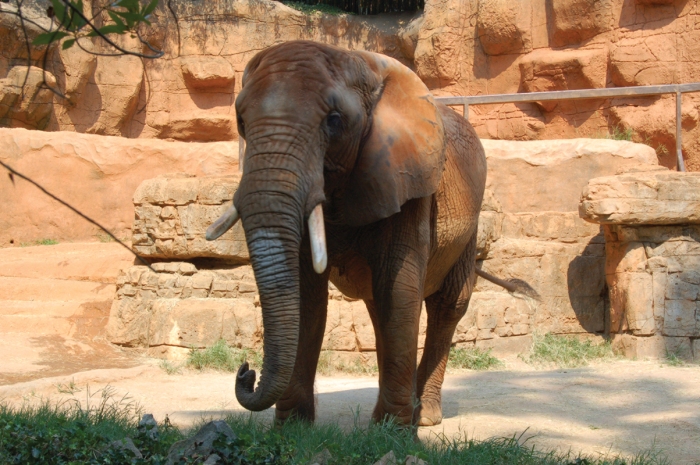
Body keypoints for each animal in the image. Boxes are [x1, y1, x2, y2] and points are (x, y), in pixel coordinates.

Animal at [205, 41, 512, 426]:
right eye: (241, 122)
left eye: (334, 120)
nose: (245, 371)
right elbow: (307, 293)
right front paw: (292, 427)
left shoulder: (408, 179)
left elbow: (399, 288)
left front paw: (392, 431)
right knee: (380, 308)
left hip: (470, 227)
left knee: (446, 305)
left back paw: (424, 416)